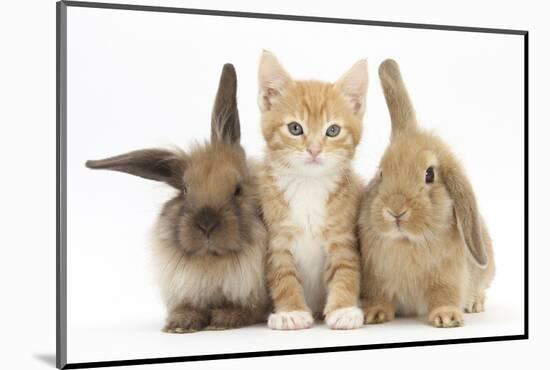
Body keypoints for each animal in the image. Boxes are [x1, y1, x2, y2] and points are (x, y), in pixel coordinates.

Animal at [85, 63, 272, 332]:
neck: (211, 262)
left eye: (238, 189)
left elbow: (249, 309)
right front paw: (180, 323)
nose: (206, 225)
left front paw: (225, 319)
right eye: (184, 190)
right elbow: (186, 307)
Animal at [256, 51, 368, 330]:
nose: (315, 150)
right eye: (295, 128)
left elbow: (345, 270)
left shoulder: (342, 237)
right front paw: (291, 311)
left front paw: (344, 309)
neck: (308, 184)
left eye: (333, 130)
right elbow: (283, 276)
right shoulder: (277, 238)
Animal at [360, 59, 498, 328]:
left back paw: (474, 303)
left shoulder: (446, 278)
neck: (407, 242)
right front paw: (373, 314)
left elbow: (443, 295)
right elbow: (379, 296)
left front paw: (447, 318)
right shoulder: (375, 278)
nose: (396, 210)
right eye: (381, 173)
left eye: (429, 174)